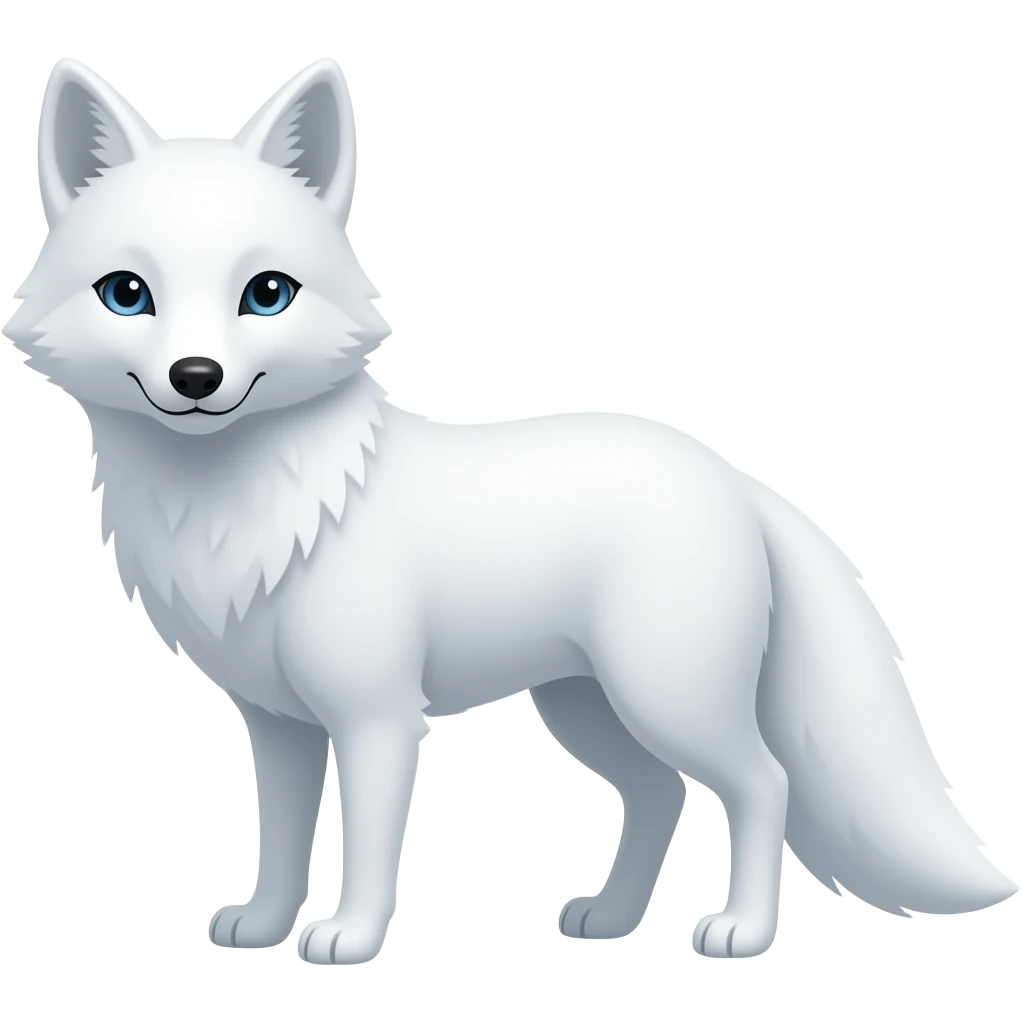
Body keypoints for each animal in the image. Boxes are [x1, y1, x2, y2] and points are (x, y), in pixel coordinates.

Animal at [5, 56, 1015, 966]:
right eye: (127, 294)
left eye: (267, 294)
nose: (196, 378)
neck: (257, 506)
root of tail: (728, 472)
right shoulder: (281, 726)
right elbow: (282, 840)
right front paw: (262, 926)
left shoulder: (378, 717)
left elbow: (366, 848)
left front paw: (349, 938)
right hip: (586, 709)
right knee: (660, 796)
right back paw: (611, 920)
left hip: (666, 697)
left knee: (763, 783)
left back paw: (741, 932)